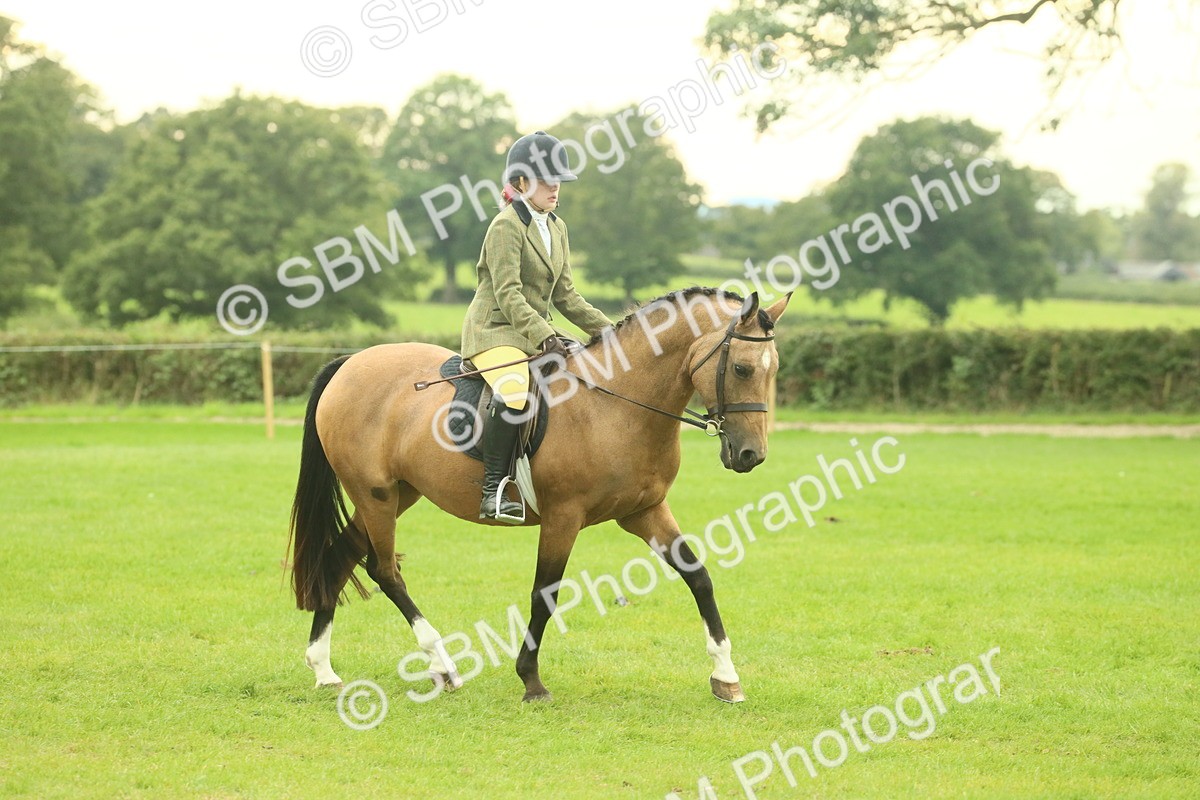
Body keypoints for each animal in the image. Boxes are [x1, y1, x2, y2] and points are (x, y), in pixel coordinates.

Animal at [288, 287, 791, 703]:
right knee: (385, 571)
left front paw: (726, 676)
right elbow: (544, 594)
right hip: (374, 495)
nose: (752, 455)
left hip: (396, 494)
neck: (615, 404)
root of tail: (349, 363)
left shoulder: (645, 511)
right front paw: (531, 681)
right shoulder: (563, 517)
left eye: (773, 369)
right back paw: (442, 665)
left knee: (341, 556)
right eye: (742, 368)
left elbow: (697, 576)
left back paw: (323, 670)